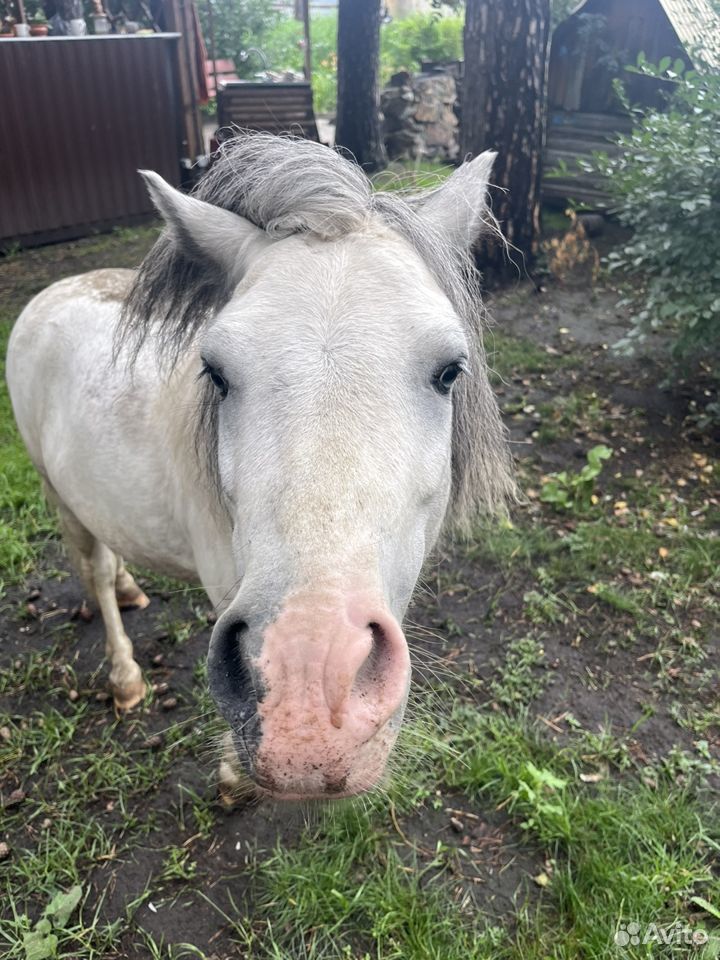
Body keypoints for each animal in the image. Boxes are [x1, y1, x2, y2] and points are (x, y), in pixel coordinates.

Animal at [7, 133, 512, 796]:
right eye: (216, 372)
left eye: (450, 370)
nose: (308, 692)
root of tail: (53, 290)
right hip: (58, 496)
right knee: (91, 568)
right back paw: (124, 676)